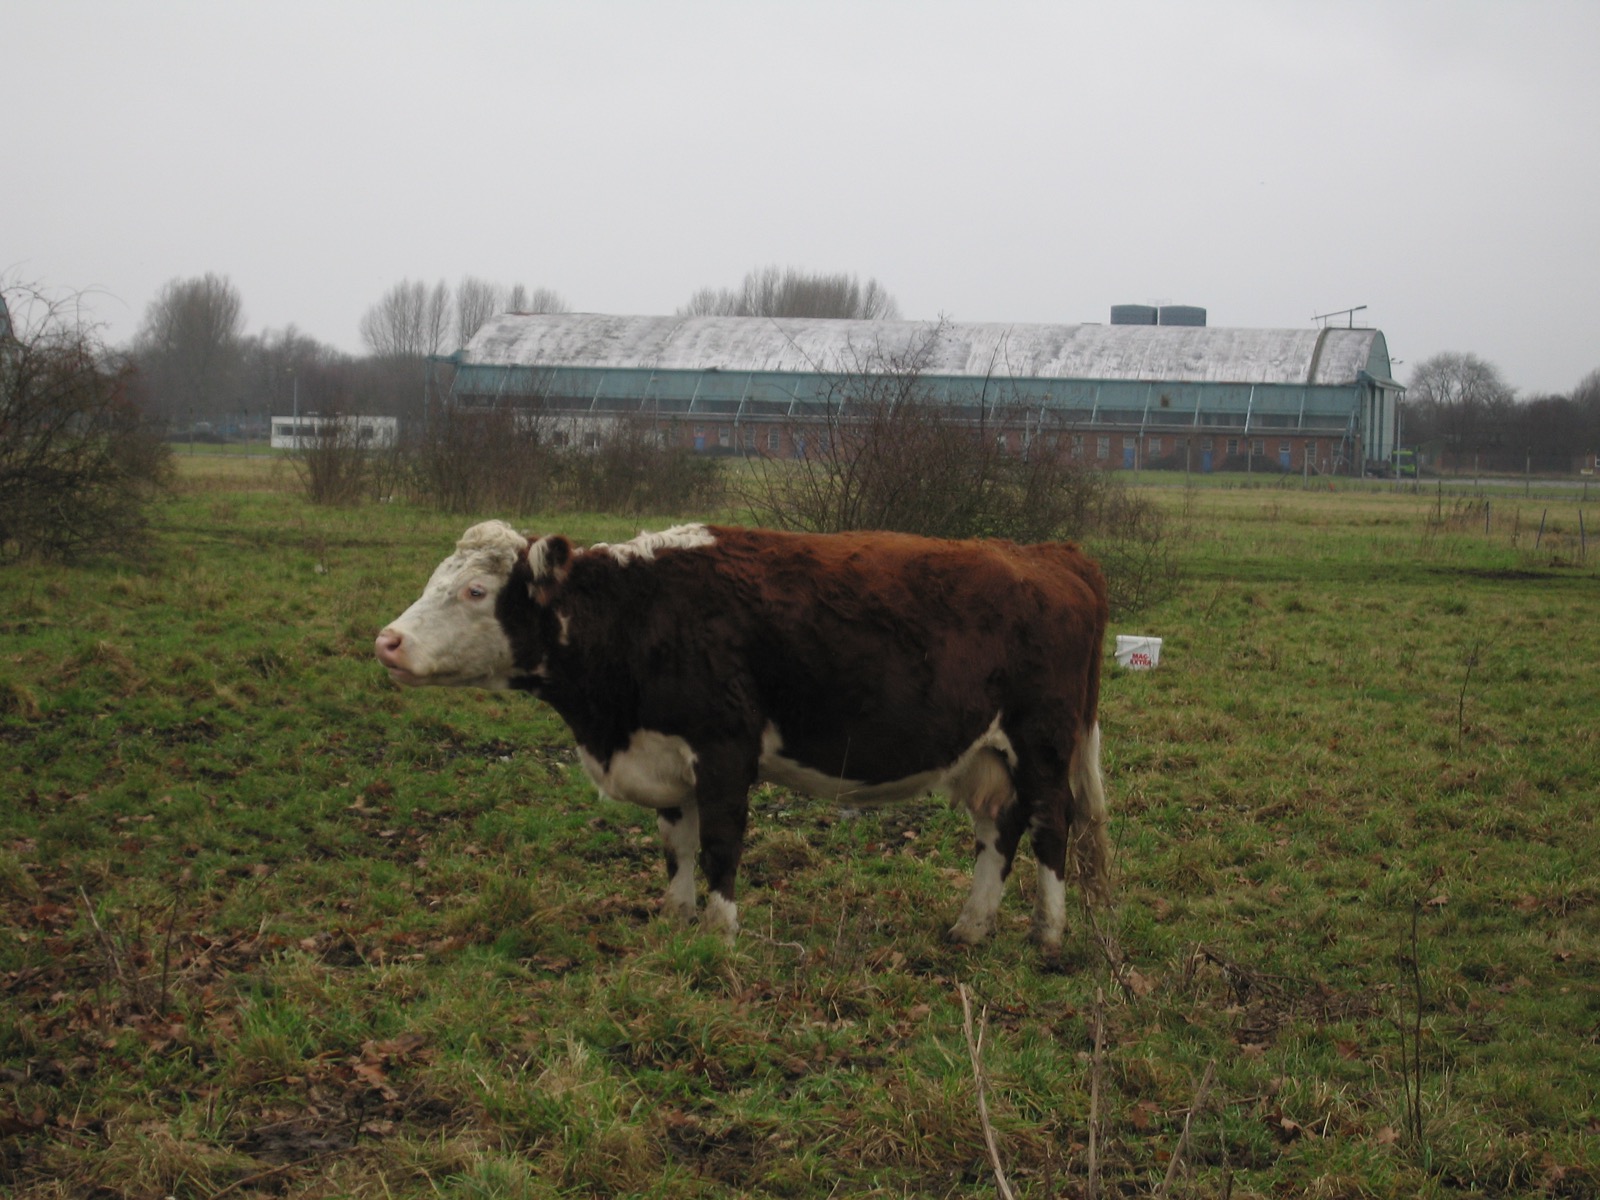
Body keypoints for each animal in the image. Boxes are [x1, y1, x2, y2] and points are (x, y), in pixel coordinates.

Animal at [375, 520, 1111, 951]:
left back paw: (1048, 934)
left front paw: (719, 934)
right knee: (1000, 830)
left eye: (475, 591)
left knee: (1053, 825)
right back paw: (971, 926)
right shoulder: (667, 755)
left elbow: (722, 844)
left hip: (1043, 742)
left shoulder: (724, 748)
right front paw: (675, 920)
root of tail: (1050, 554)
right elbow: (676, 846)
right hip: (989, 753)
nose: (387, 641)